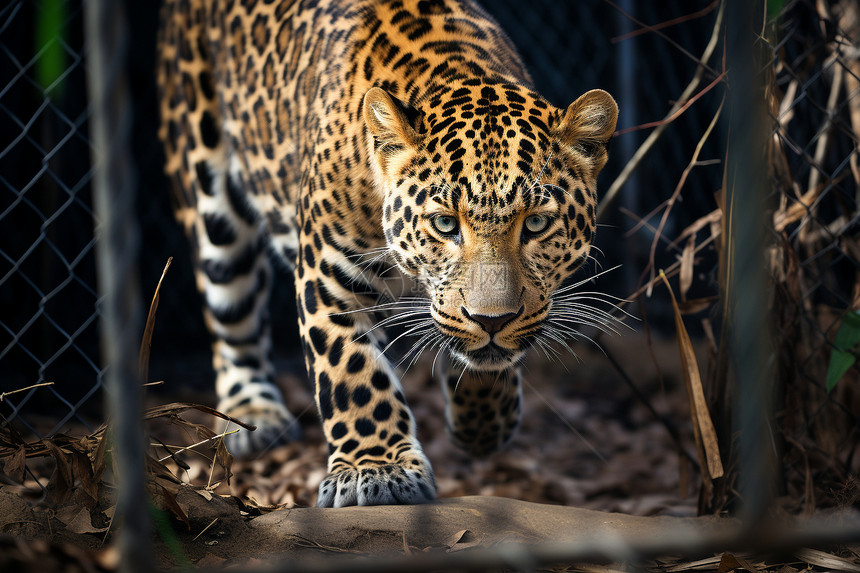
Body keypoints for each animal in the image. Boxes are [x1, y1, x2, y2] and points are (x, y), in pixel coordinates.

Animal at [158, 0, 616, 508]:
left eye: (535, 224)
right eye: (445, 224)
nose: (492, 320)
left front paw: (483, 422)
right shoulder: (328, 270)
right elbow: (352, 372)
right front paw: (375, 470)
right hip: (207, 193)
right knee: (231, 312)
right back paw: (254, 414)